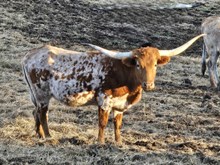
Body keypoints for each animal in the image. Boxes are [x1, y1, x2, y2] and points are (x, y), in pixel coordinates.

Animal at [21, 34, 203, 144]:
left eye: (156, 64)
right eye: (138, 64)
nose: (149, 85)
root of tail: (30, 54)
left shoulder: (120, 105)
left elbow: (117, 124)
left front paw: (118, 142)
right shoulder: (104, 101)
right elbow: (102, 123)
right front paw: (100, 142)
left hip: (35, 96)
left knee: (35, 112)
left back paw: (39, 135)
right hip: (42, 94)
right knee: (42, 114)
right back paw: (48, 136)